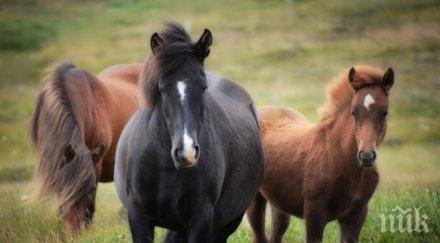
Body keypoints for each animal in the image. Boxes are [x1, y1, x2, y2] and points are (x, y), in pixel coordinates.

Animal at [114, 21, 264, 242]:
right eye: (162, 89)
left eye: (203, 88)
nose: (187, 153)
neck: (166, 166)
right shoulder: (138, 216)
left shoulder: (200, 219)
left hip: (227, 223)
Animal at [248, 65, 396, 242]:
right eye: (354, 112)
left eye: (385, 112)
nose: (366, 156)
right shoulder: (314, 214)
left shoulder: (356, 215)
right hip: (255, 199)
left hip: (279, 203)